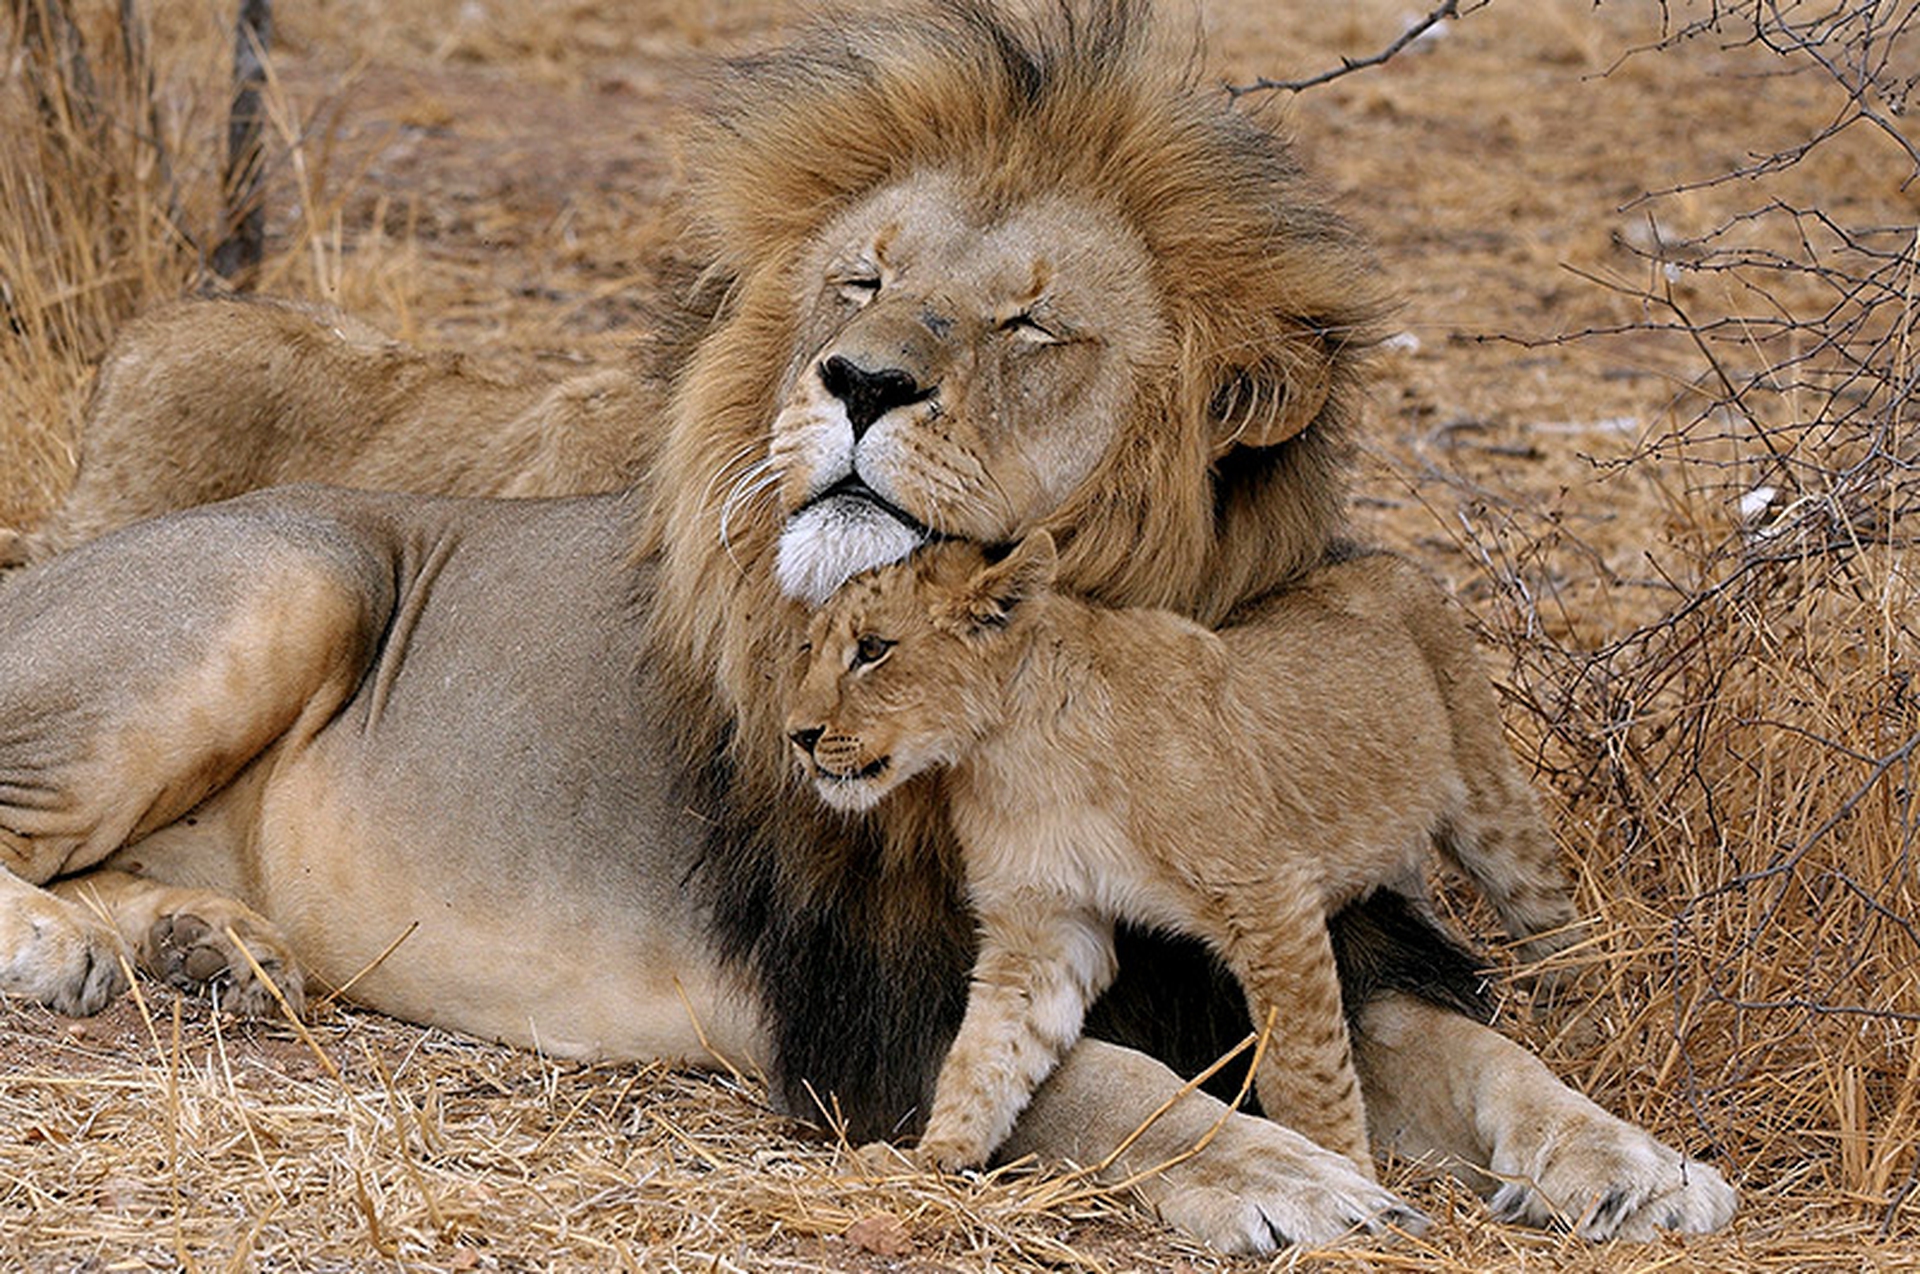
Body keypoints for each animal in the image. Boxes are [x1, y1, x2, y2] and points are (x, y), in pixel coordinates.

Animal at [785, 534, 1578, 1176]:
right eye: (810, 649)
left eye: (872, 649)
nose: (797, 734)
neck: (1016, 752)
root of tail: (1383, 558)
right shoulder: (1044, 928)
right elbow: (987, 1050)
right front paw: (937, 1155)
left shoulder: (1269, 893)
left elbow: (1302, 1064)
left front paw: (1346, 1176)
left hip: (1490, 805)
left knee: (1552, 913)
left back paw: (1576, 1009)